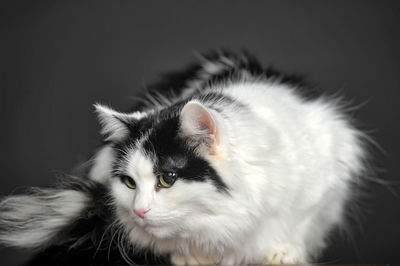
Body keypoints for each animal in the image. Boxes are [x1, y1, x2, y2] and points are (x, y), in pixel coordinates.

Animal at [0, 51, 368, 264]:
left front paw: (282, 252)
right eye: (129, 182)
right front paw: (192, 258)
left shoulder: (330, 171)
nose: (139, 210)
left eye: (168, 178)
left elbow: (301, 222)